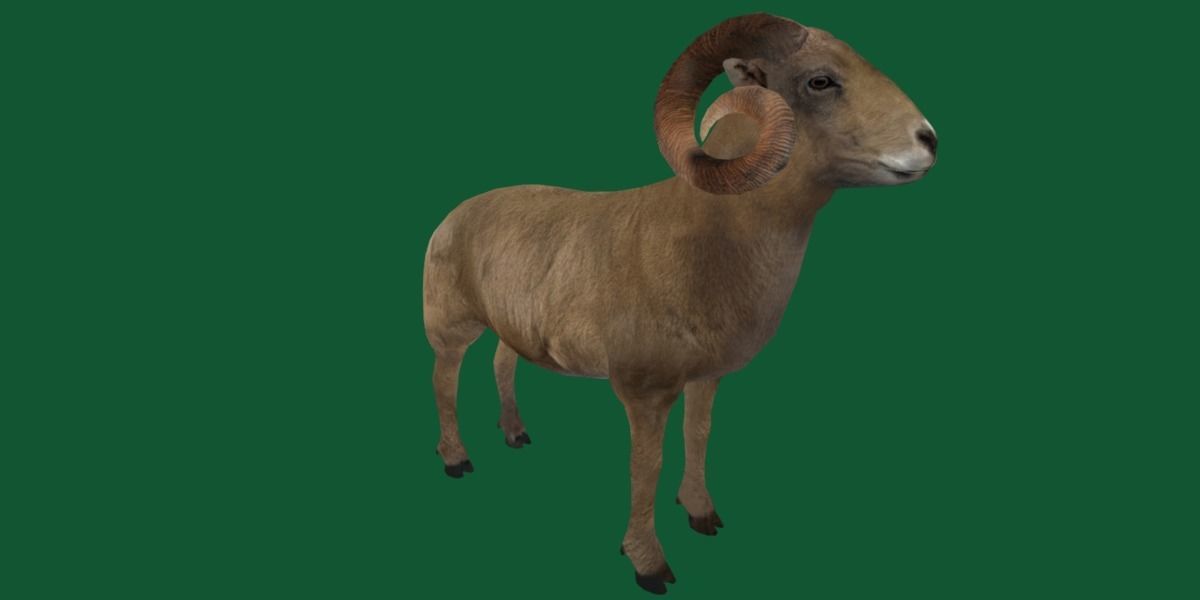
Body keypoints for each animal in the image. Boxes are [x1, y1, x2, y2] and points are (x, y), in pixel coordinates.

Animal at [422, 13, 937, 594]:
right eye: (820, 81)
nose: (928, 140)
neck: (709, 239)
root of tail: (454, 215)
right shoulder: (645, 393)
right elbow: (645, 468)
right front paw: (649, 565)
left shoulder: (705, 378)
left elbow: (699, 435)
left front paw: (701, 514)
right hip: (449, 328)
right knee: (444, 384)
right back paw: (456, 460)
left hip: (511, 328)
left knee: (501, 362)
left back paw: (515, 434)